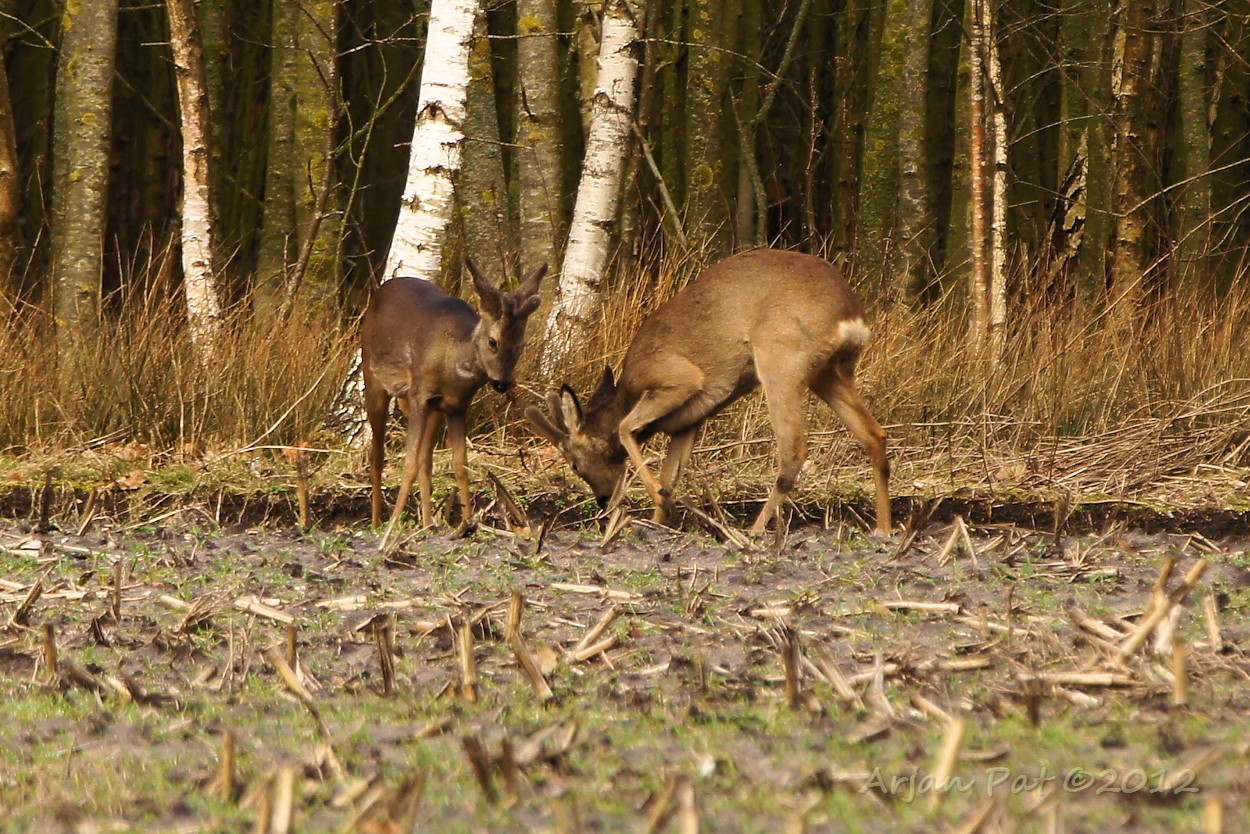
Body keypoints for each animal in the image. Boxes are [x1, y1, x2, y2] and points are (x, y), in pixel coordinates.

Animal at [362, 260, 546, 544]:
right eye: (493, 341)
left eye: (521, 344)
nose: (502, 383)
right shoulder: (420, 395)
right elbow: (409, 463)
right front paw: (392, 526)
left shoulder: (457, 406)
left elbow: (460, 464)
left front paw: (468, 524)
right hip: (373, 378)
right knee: (377, 454)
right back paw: (376, 521)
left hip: (433, 409)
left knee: (426, 459)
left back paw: (428, 523)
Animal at [525, 248, 891, 536]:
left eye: (575, 464)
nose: (602, 502)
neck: (627, 389)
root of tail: (851, 316)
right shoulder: (690, 420)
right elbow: (672, 471)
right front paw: (661, 517)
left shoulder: (679, 378)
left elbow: (625, 428)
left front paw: (658, 498)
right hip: (828, 373)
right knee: (874, 435)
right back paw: (883, 529)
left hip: (781, 358)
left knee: (794, 449)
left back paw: (754, 531)